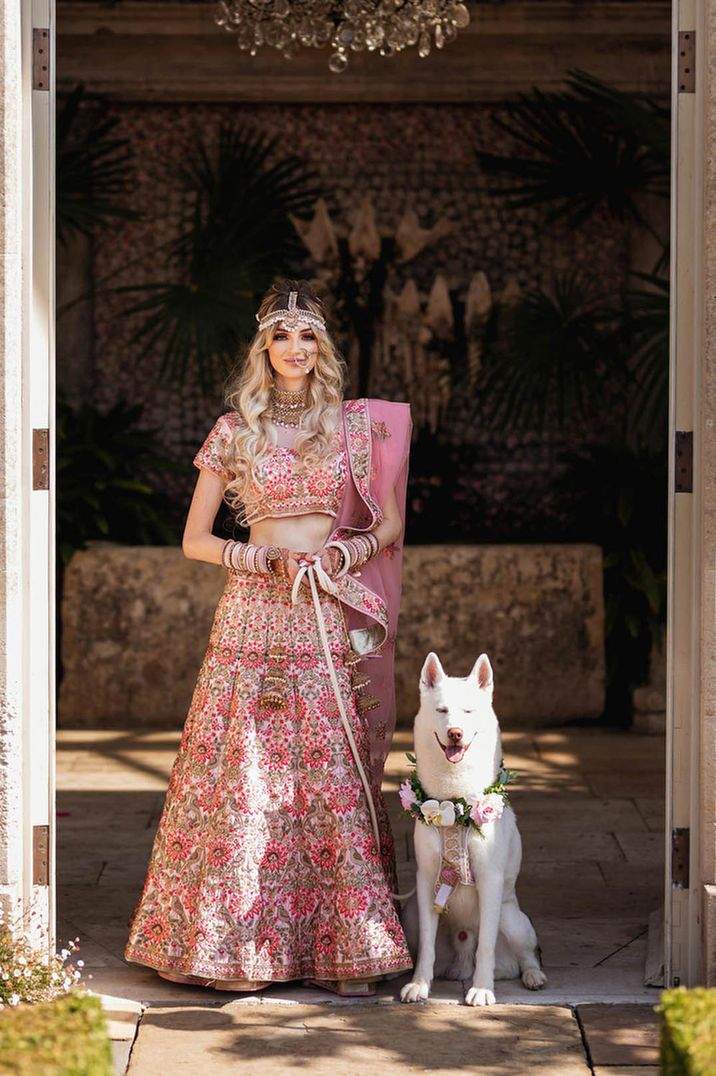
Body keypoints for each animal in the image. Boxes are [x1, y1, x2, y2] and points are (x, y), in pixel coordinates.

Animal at [398, 645, 544, 1007]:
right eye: (442, 710)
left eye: (468, 711)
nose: (455, 732)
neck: (455, 802)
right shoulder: (427, 880)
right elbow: (427, 947)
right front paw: (419, 984)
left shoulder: (490, 880)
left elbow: (487, 946)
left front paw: (482, 989)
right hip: (410, 915)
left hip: (512, 919)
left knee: (526, 954)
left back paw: (532, 976)